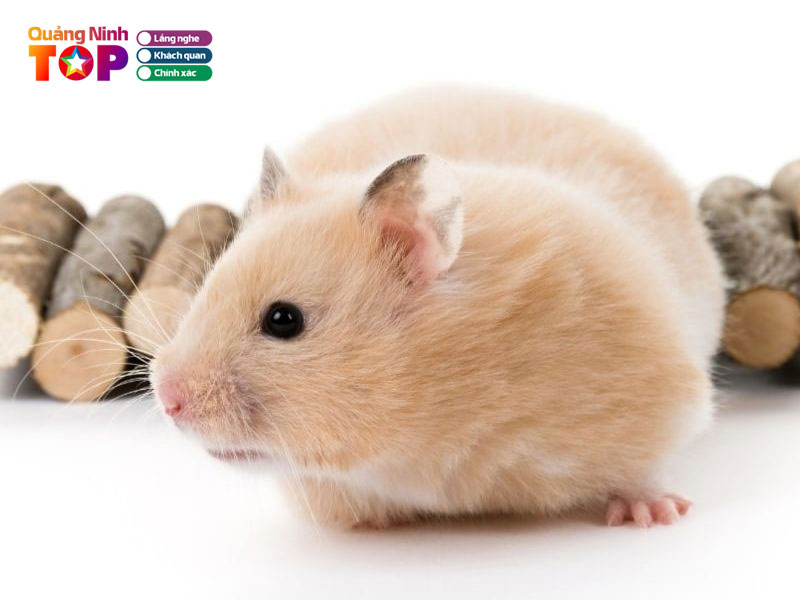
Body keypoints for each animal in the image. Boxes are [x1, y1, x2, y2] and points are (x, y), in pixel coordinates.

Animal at [150, 86, 724, 529]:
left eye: (283, 320)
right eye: (205, 288)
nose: (167, 399)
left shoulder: (660, 390)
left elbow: (646, 467)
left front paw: (656, 515)